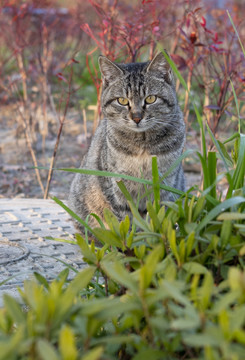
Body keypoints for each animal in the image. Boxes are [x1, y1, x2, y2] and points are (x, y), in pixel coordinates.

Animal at [68, 52, 185, 232]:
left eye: (151, 99)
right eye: (122, 101)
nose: (136, 117)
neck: (143, 144)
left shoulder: (166, 185)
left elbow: (159, 217)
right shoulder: (118, 187)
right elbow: (127, 221)